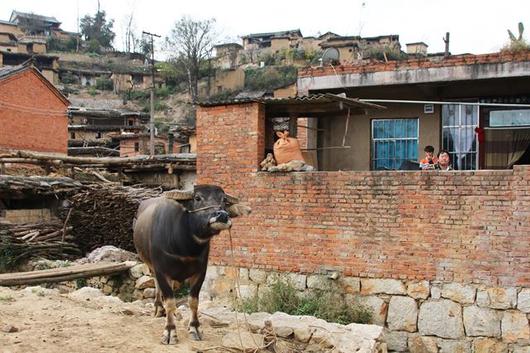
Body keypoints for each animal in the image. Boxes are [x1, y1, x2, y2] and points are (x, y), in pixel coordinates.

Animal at [131, 184, 249, 344]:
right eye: (197, 198)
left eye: (224, 200)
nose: (222, 216)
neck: (184, 245)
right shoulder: (162, 271)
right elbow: (170, 301)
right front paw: (170, 332)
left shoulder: (201, 272)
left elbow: (193, 301)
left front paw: (194, 328)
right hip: (150, 266)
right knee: (157, 286)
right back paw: (159, 309)